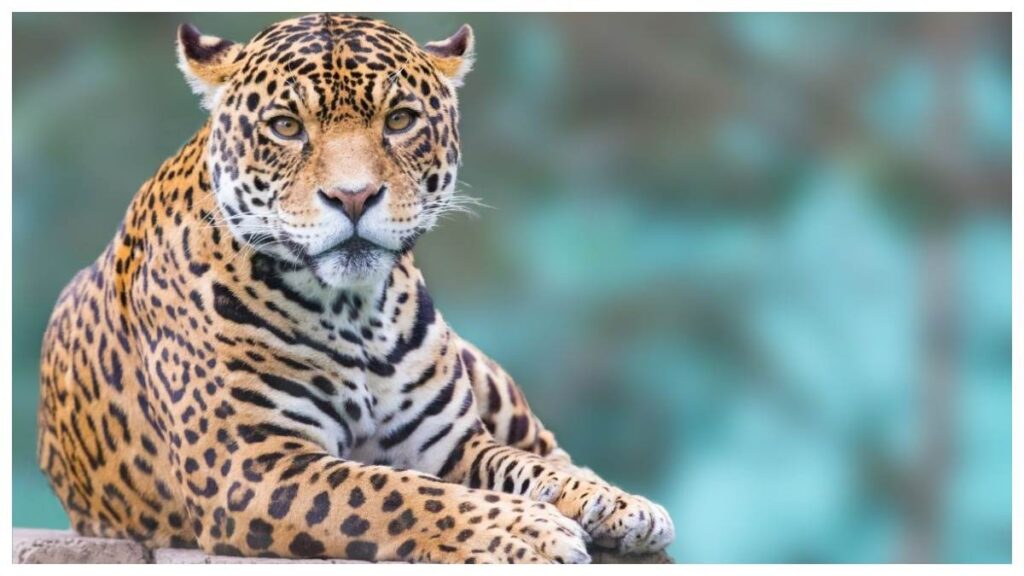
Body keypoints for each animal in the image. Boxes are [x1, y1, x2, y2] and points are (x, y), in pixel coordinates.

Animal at [37, 13, 674, 563]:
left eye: (399, 120)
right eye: (286, 127)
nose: (353, 196)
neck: (353, 309)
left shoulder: (450, 444)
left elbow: (524, 467)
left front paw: (609, 503)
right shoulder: (248, 464)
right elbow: (394, 492)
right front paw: (529, 530)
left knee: (546, 447)